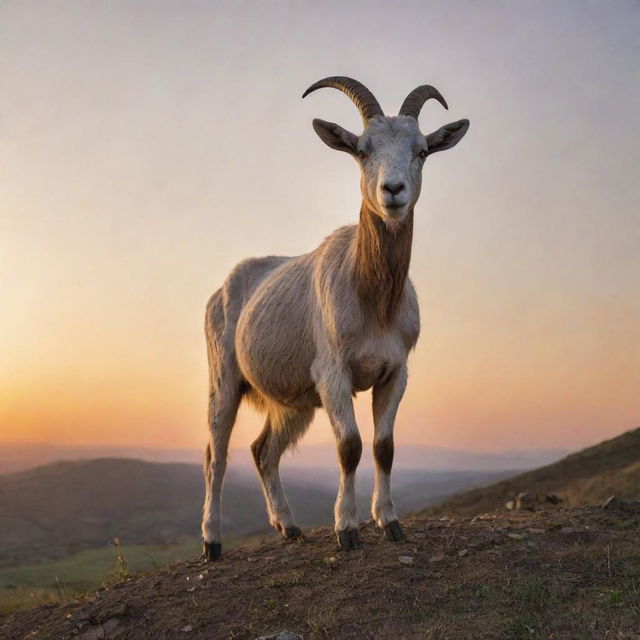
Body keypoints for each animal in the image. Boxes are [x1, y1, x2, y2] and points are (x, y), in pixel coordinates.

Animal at [202, 76, 468, 560]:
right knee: (217, 453)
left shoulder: (394, 371)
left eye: (422, 150)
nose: (393, 191)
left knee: (263, 450)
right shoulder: (333, 373)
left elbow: (384, 447)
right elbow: (350, 446)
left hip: (292, 401)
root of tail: (221, 291)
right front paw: (347, 530)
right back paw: (211, 542)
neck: (373, 302)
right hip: (224, 378)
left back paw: (289, 526)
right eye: (362, 149)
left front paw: (390, 522)